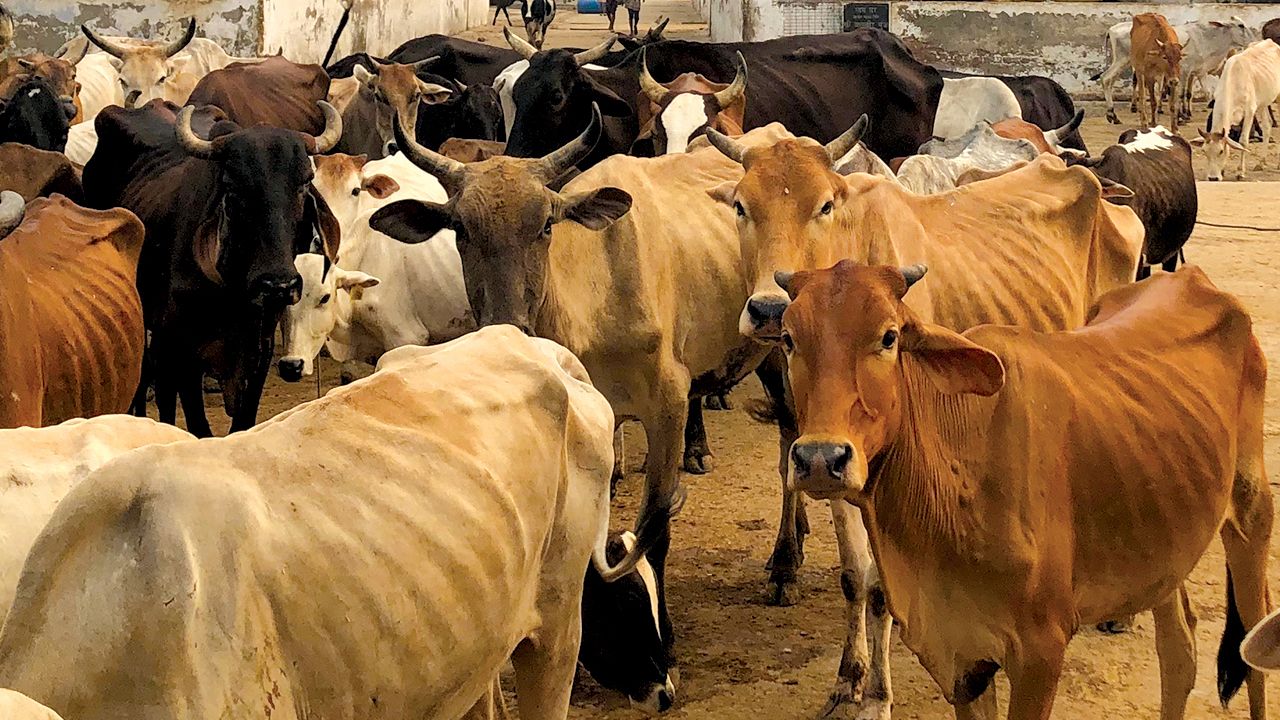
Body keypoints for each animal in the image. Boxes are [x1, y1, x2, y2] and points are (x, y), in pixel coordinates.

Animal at [83, 99, 342, 436]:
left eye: (305, 181)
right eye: (232, 186)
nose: (278, 285)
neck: (232, 294)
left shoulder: (259, 352)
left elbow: (242, 422)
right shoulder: (184, 351)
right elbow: (198, 424)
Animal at [704, 121, 1143, 718]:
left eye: (825, 205)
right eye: (741, 206)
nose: (769, 309)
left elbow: (882, 589)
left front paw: (878, 697)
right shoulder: (827, 459)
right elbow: (853, 576)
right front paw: (848, 677)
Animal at [779, 262, 1271, 719]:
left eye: (889, 337)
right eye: (788, 338)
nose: (820, 458)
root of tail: (1190, 277)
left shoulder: (1040, 653)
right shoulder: (962, 660)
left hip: (1250, 510)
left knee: (1254, 654)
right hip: (1165, 540)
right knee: (1179, 651)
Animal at [1191, 38, 1280, 180]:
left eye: (1221, 151)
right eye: (1204, 151)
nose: (1213, 178)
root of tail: (1271, 42)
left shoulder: (1249, 112)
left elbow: (1243, 142)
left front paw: (1240, 172)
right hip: (1262, 103)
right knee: (1267, 126)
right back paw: (1261, 162)